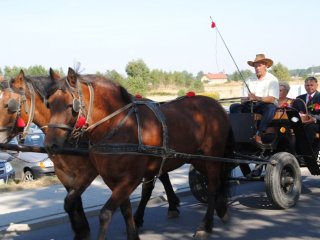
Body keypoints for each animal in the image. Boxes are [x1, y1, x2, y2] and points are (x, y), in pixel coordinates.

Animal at [0, 69, 180, 238]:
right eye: (49, 104)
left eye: (9, 105)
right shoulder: (64, 174)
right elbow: (73, 202)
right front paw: (80, 231)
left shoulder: (89, 171)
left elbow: (73, 202)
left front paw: (83, 231)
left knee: (153, 183)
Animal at [43, 68, 231, 240]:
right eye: (49, 104)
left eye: (71, 105)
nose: (50, 145)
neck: (118, 125)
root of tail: (216, 105)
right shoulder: (110, 178)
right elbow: (124, 208)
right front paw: (133, 233)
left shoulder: (131, 178)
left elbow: (105, 213)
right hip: (199, 158)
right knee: (217, 180)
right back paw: (221, 209)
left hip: (212, 155)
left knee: (213, 185)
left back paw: (206, 224)